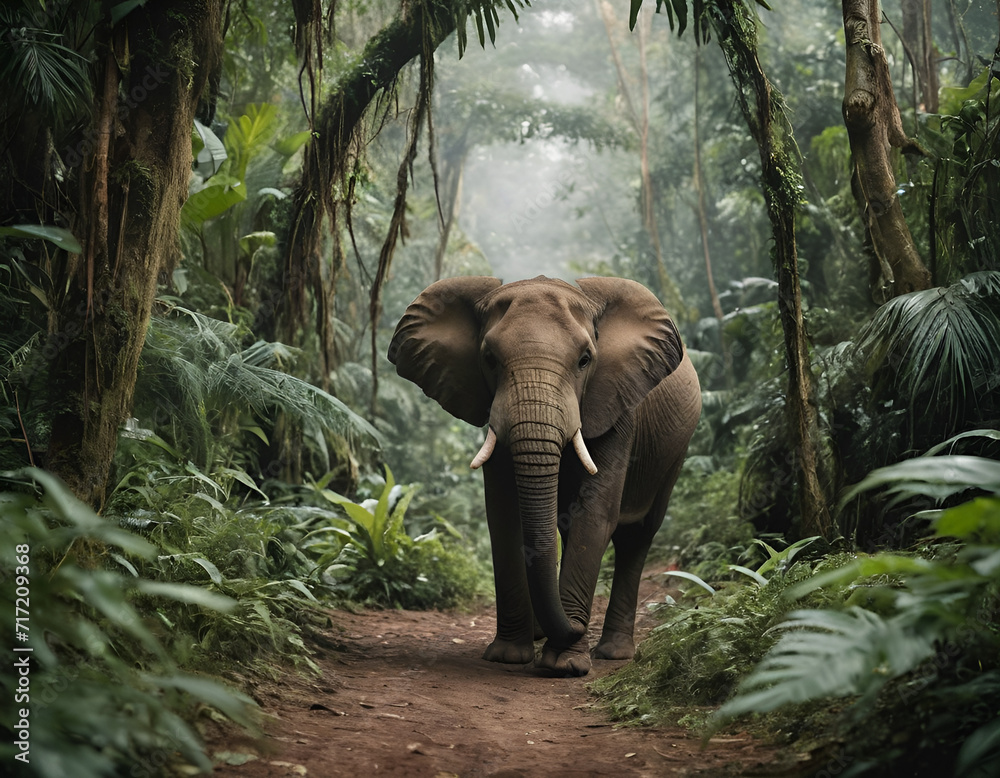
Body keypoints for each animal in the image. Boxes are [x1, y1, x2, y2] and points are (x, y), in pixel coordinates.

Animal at [388, 275, 701, 676]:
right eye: (489, 359)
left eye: (585, 360)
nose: (578, 625)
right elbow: (504, 514)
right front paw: (509, 656)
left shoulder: (616, 405)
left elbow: (595, 514)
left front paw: (564, 665)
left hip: (676, 451)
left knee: (638, 535)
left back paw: (612, 652)